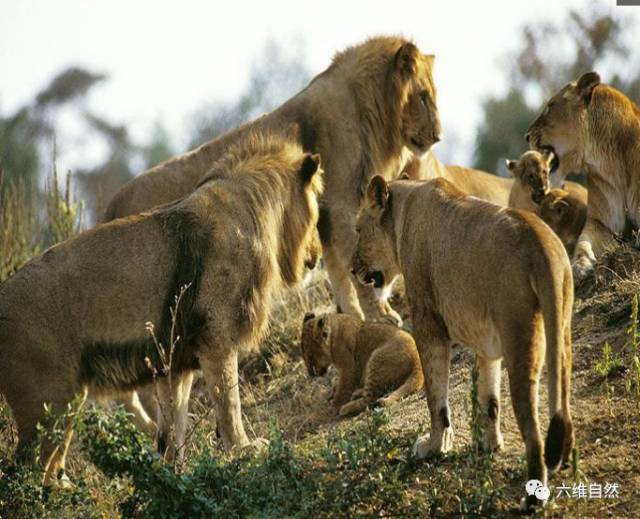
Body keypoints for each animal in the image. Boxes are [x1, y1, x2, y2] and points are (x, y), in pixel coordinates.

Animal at [0, 133, 322, 488]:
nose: (318, 253)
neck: (251, 210)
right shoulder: (216, 337)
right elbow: (228, 400)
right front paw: (244, 448)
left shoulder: (175, 359)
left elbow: (174, 424)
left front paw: (174, 474)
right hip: (48, 402)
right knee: (24, 472)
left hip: (69, 399)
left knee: (48, 462)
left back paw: (66, 489)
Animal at [102, 36, 442, 328]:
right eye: (424, 97)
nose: (438, 135)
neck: (370, 112)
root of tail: (112, 203)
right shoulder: (342, 207)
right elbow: (357, 269)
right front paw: (382, 316)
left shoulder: (326, 219)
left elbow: (339, 274)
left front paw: (350, 320)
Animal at [356, 176, 576, 512]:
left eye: (357, 230)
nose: (352, 268)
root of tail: (541, 244)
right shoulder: (487, 345)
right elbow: (489, 399)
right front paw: (488, 446)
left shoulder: (428, 324)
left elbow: (436, 397)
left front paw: (435, 446)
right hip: (561, 328)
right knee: (562, 399)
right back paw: (564, 458)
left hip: (520, 337)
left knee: (533, 430)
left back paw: (532, 499)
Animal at [524, 73, 640, 280]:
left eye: (550, 107)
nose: (526, 136)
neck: (612, 165)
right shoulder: (600, 223)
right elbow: (583, 240)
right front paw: (580, 264)